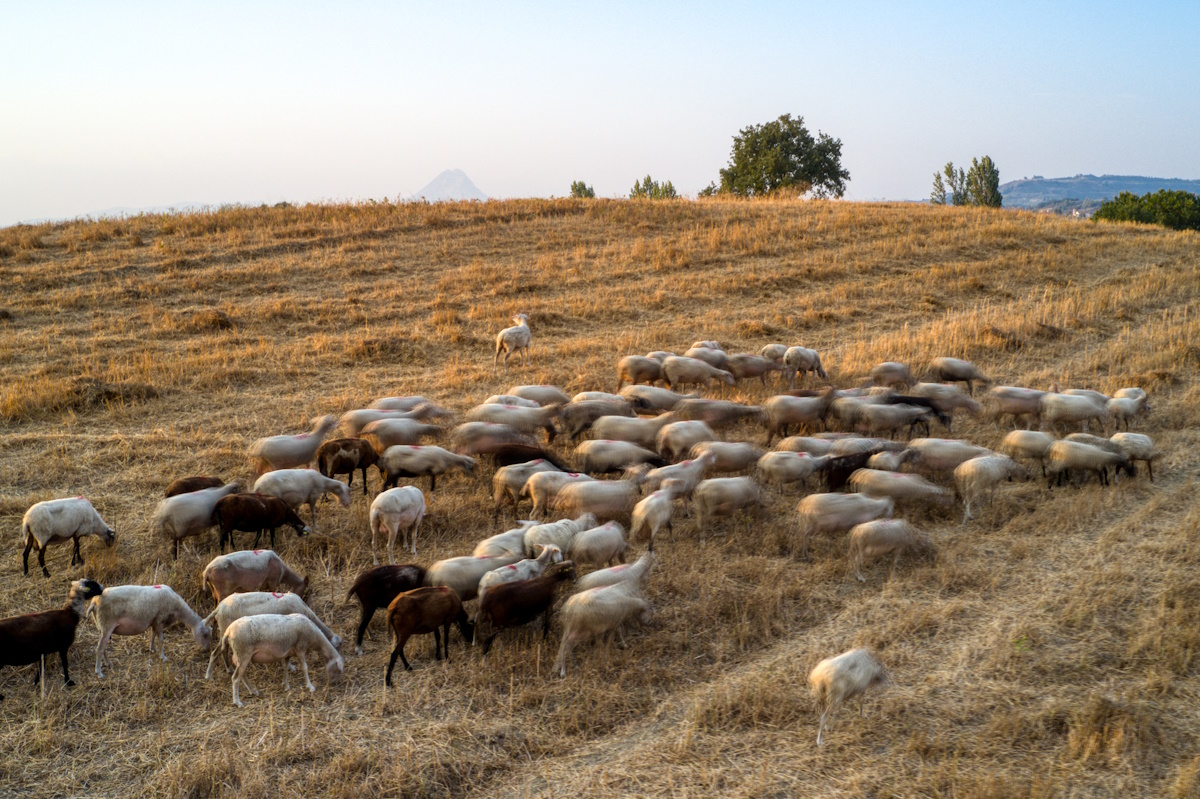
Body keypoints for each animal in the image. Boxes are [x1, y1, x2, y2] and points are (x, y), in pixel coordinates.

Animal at [202, 587, 343, 676]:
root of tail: (218, 608)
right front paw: (291, 667)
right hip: (225, 628)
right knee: (217, 651)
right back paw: (211, 674)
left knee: (222, 650)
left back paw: (226, 669)